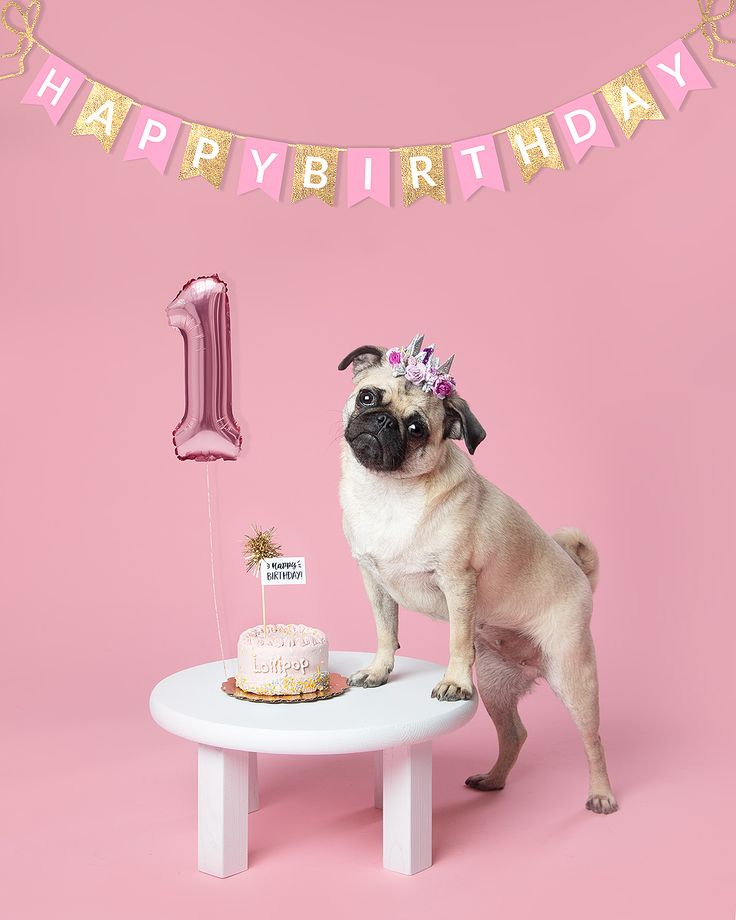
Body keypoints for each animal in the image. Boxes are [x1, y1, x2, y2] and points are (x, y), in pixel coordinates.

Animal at [340, 336, 620, 812]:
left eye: (416, 428)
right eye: (368, 397)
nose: (382, 420)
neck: (389, 492)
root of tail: (582, 577)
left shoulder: (458, 581)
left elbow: (456, 638)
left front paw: (453, 682)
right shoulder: (374, 581)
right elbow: (384, 632)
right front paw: (379, 671)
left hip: (573, 675)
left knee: (593, 740)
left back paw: (600, 795)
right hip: (494, 681)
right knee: (515, 734)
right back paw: (493, 780)